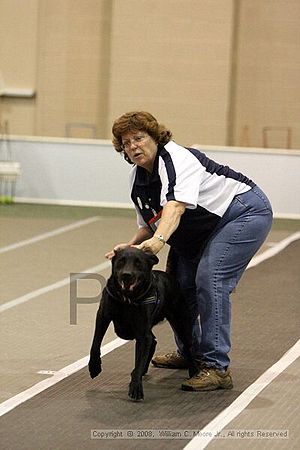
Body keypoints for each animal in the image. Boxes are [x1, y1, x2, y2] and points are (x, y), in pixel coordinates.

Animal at [88, 246, 198, 400]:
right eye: (121, 261)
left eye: (138, 263)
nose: (126, 275)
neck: (127, 299)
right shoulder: (103, 316)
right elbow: (95, 344)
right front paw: (94, 367)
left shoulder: (142, 333)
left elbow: (139, 362)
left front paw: (135, 387)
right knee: (153, 340)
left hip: (180, 322)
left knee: (188, 346)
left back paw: (194, 372)